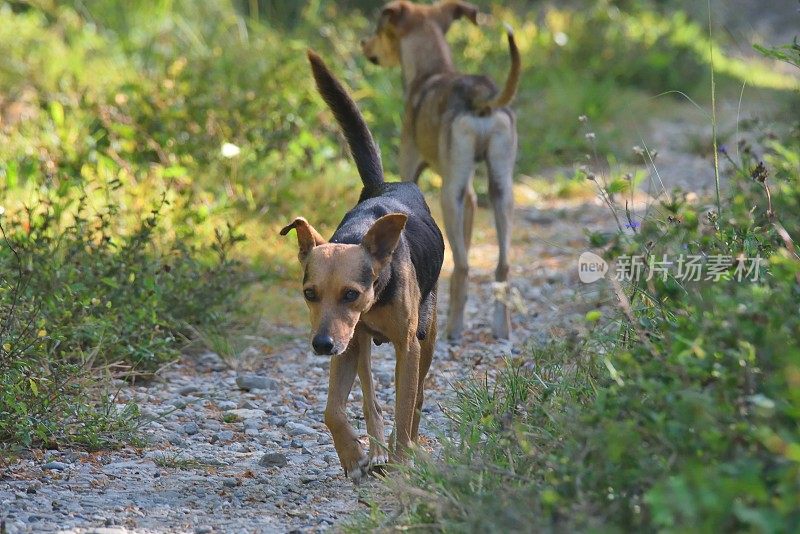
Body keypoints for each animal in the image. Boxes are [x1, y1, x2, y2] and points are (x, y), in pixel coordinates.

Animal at [280, 52, 444, 484]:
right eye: (309, 294)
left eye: (351, 293)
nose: (321, 345)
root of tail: (384, 185)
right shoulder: (347, 343)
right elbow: (333, 411)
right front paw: (353, 456)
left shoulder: (408, 347)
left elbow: (406, 405)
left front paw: (402, 461)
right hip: (360, 344)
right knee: (371, 399)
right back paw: (374, 451)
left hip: (427, 334)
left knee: (415, 397)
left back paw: (402, 449)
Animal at [364, 0, 524, 342]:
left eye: (379, 30)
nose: (363, 44)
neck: (432, 72)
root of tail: (479, 94)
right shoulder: (470, 196)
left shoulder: (410, 166)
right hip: (502, 187)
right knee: (502, 264)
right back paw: (500, 327)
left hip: (449, 194)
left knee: (462, 266)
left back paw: (454, 327)